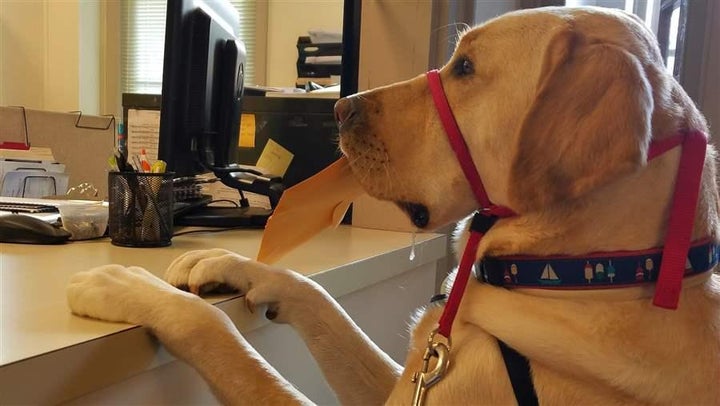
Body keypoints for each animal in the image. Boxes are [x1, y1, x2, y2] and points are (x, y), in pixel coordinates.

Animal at [67, 6, 720, 406]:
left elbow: (217, 333)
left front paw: (121, 283)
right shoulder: (409, 377)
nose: (340, 108)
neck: (587, 274)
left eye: (465, 67)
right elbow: (319, 297)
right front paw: (228, 265)